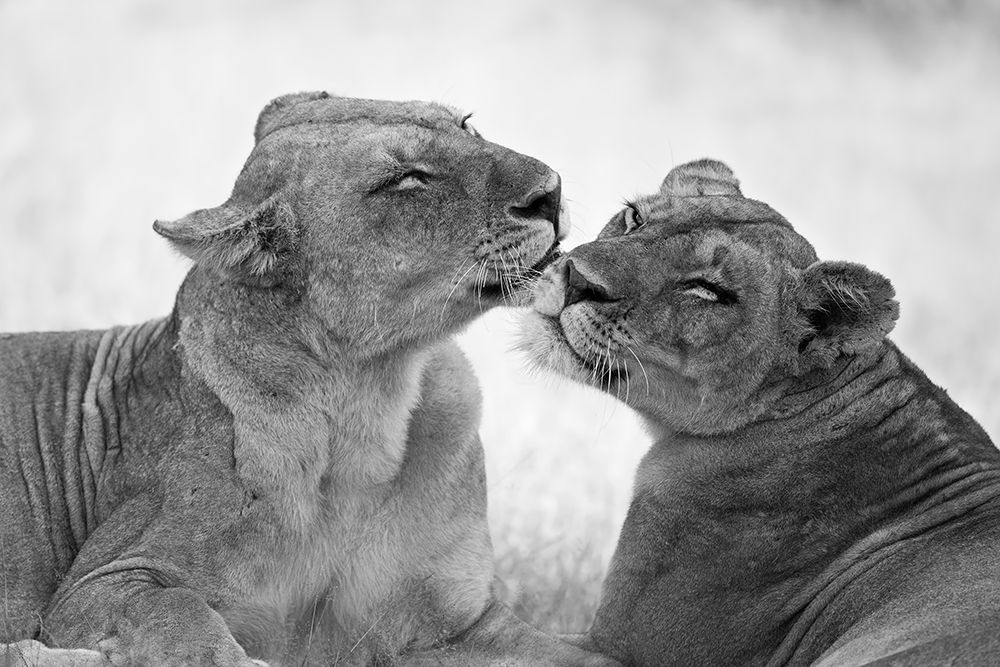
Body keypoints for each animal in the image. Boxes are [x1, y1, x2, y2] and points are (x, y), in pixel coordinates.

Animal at [0, 92, 617, 666]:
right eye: (406, 180)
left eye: (466, 125)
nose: (551, 190)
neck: (368, 405)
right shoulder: (100, 583)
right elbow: (181, 612)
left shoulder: (463, 621)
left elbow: (596, 654)